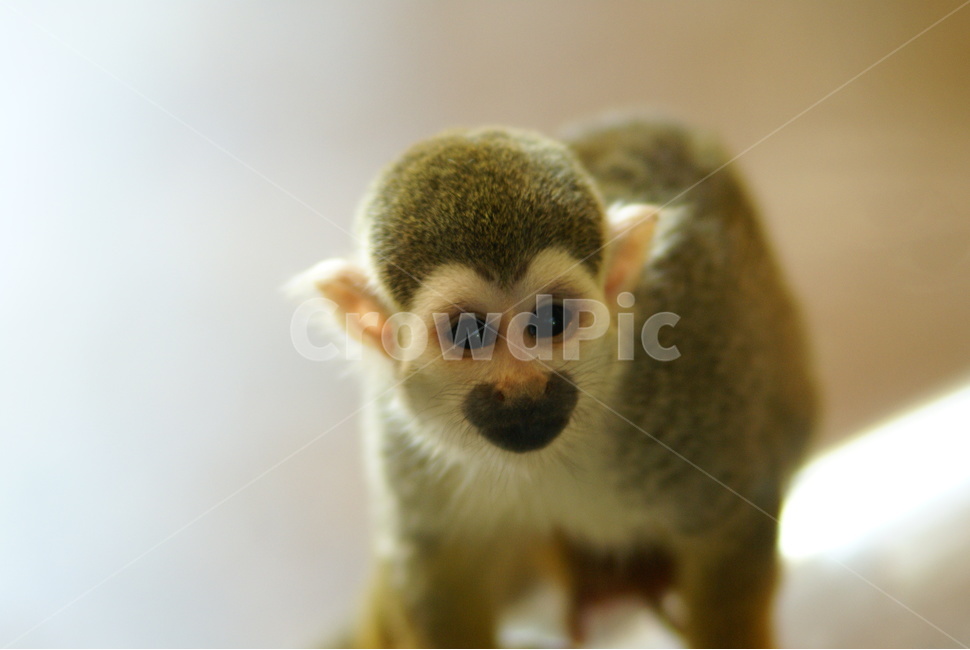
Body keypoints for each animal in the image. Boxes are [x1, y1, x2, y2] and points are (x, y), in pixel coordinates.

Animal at [290, 113, 817, 648]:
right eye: (467, 333)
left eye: (551, 320)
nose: (524, 389)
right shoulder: (402, 440)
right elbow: (439, 576)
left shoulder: (691, 378)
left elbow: (735, 524)